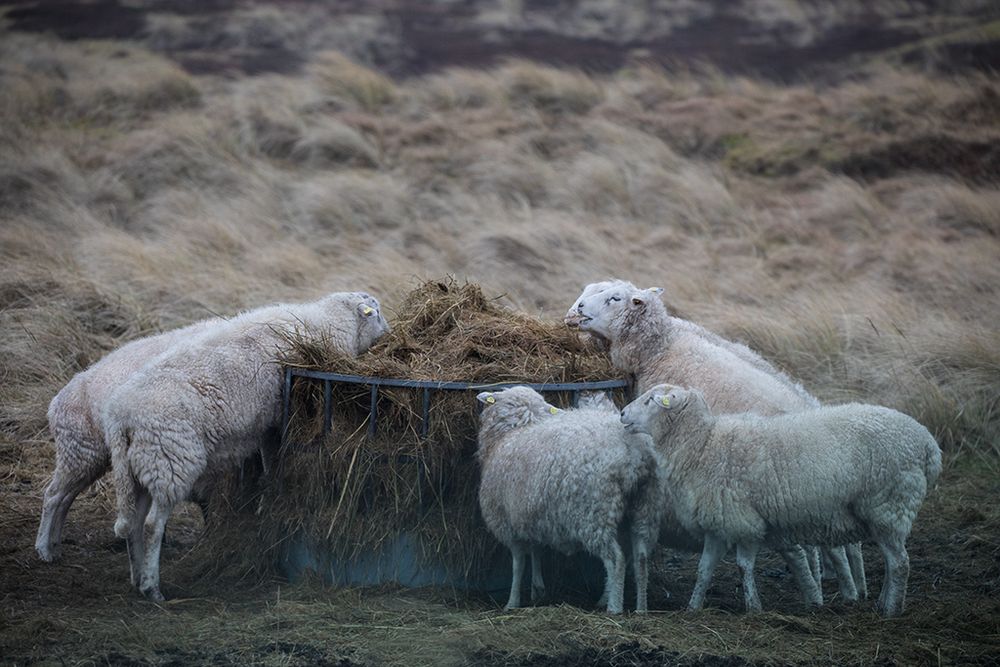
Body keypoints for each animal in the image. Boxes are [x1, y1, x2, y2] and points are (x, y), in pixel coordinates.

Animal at [37, 318, 223, 564]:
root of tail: (56, 403)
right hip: (78, 452)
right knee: (52, 495)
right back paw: (43, 549)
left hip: (90, 458)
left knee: (65, 498)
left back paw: (55, 545)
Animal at [103, 290, 388, 600]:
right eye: (377, 312)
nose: (388, 333)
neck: (328, 321)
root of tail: (120, 417)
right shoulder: (277, 421)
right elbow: (274, 458)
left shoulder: (267, 425)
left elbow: (268, 461)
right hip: (169, 460)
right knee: (152, 525)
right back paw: (152, 587)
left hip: (137, 468)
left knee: (133, 523)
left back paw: (136, 577)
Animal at [478, 386, 664, 616]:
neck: (511, 433)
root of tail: (634, 452)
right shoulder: (531, 515)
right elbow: (536, 552)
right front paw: (538, 590)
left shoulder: (507, 522)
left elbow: (518, 564)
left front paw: (512, 602)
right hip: (644, 508)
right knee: (641, 559)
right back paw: (640, 608)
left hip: (595, 514)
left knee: (616, 560)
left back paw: (613, 607)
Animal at [564, 280, 868, 604]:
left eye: (614, 298)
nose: (577, 309)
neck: (661, 346)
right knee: (843, 544)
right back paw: (851, 586)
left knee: (828, 548)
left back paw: (838, 592)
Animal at [620, 384, 940, 620]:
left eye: (650, 400)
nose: (622, 413)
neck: (703, 444)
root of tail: (928, 444)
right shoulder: (718, 523)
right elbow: (704, 570)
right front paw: (693, 607)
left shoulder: (744, 521)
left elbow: (743, 567)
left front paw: (753, 608)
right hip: (886, 513)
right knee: (891, 561)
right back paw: (883, 603)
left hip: (890, 505)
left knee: (900, 563)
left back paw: (891, 610)